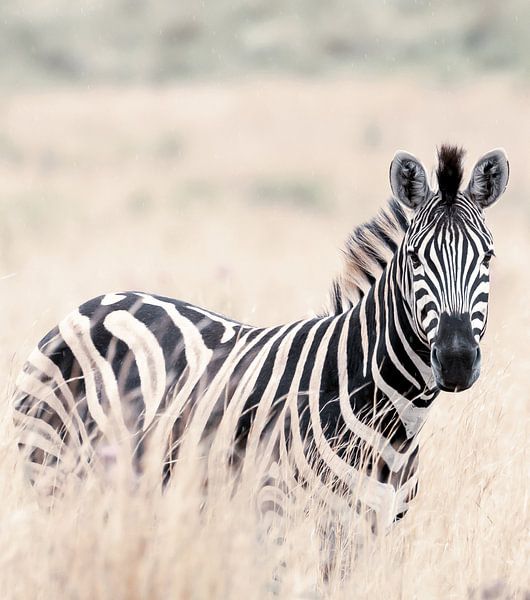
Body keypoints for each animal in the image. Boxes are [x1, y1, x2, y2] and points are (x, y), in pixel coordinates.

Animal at [12, 144, 508, 528]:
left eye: (487, 257)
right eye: (415, 258)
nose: (457, 360)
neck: (394, 420)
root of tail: (88, 306)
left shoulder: (373, 532)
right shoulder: (280, 515)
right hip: (53, 471)